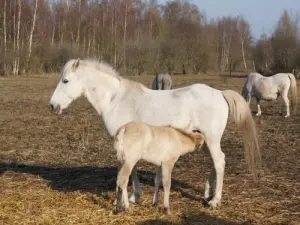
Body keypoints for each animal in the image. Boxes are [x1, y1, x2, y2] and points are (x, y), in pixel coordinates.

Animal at [48, 59, 260, 208]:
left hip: (212, 139)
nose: (52, 106)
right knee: (214, 164)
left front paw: (132, 197)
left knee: (219, 162)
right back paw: (207, 194)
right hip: (206, 139)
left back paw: (215, 201)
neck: (116, 99)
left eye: (65, 80)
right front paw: (135, 196)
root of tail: (220, 93)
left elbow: (130, 170)